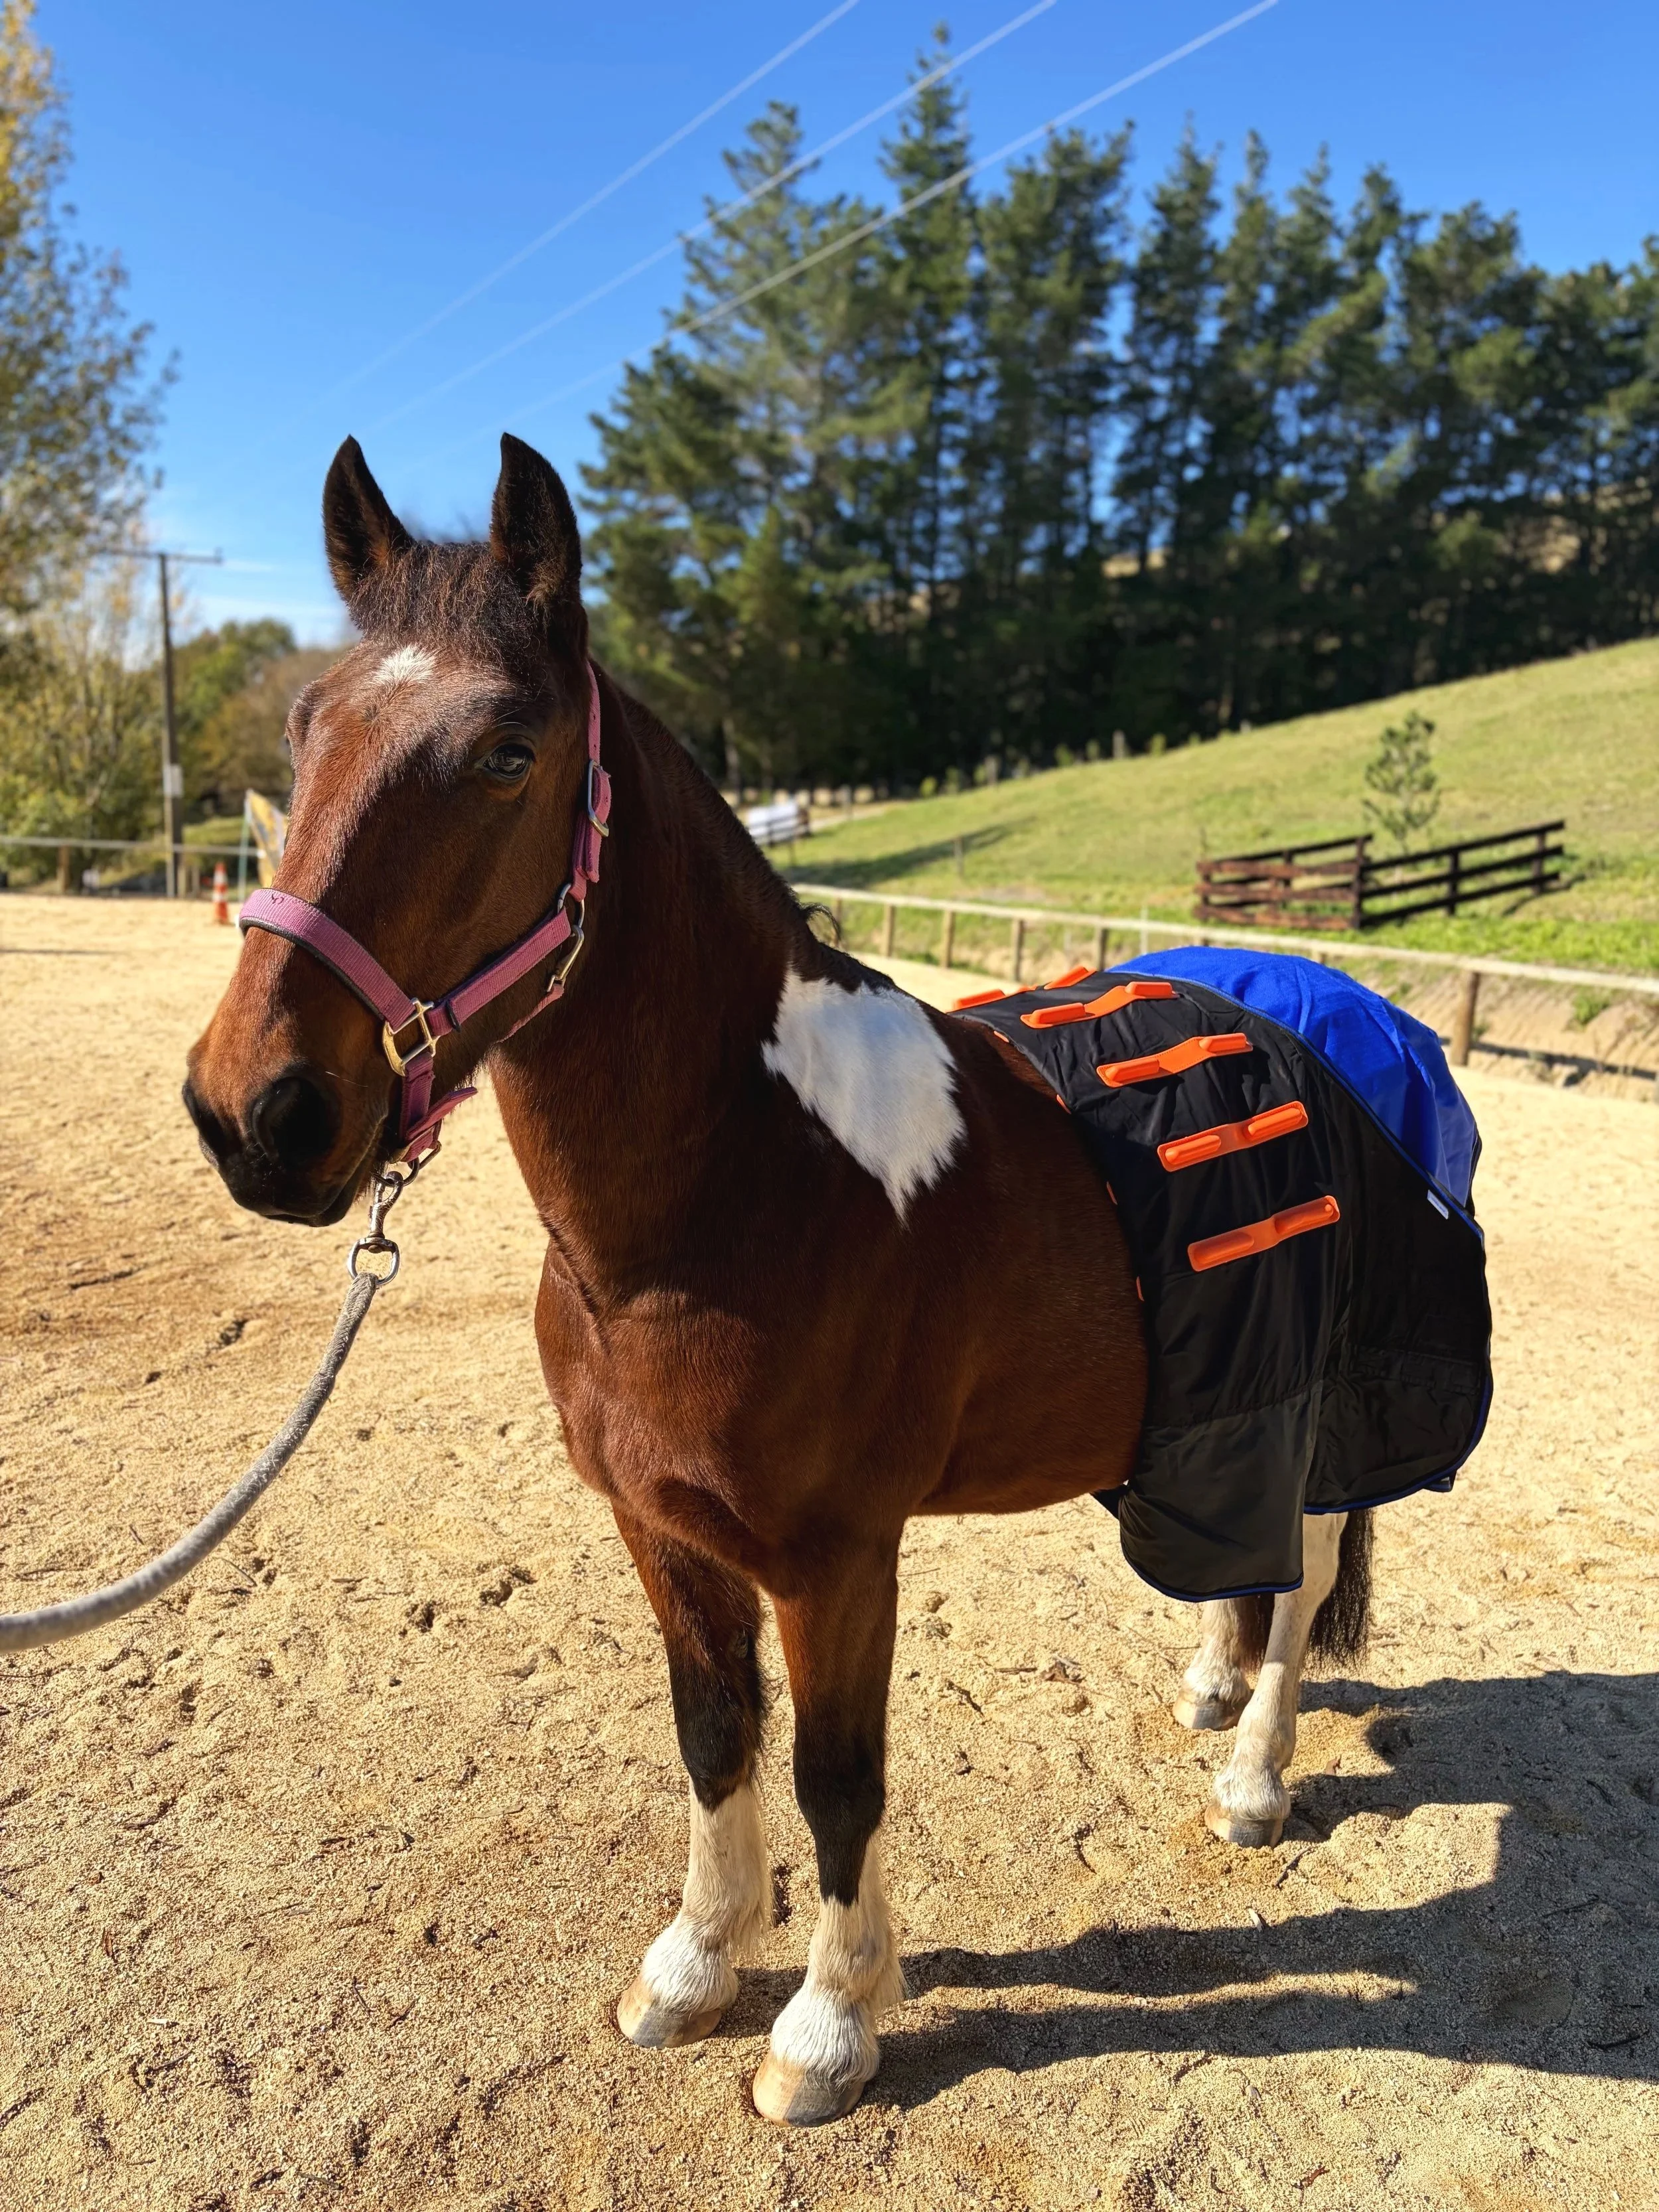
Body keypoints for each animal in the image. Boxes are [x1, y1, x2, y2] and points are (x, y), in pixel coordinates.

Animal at [183, 433, 1373, 2127]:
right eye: (304, 729)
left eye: (507, 751)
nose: (256, 1114)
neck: (733, 1202)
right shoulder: (662, 1531)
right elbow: (713, 1737)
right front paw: (693, 1964)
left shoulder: (836, 1558)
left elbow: (835, 1775)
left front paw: (826, 2020)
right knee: (1249, 1565)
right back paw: (1211, 1699)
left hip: (1319, 1414)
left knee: (1308, 1579)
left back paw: (1254, 1778)